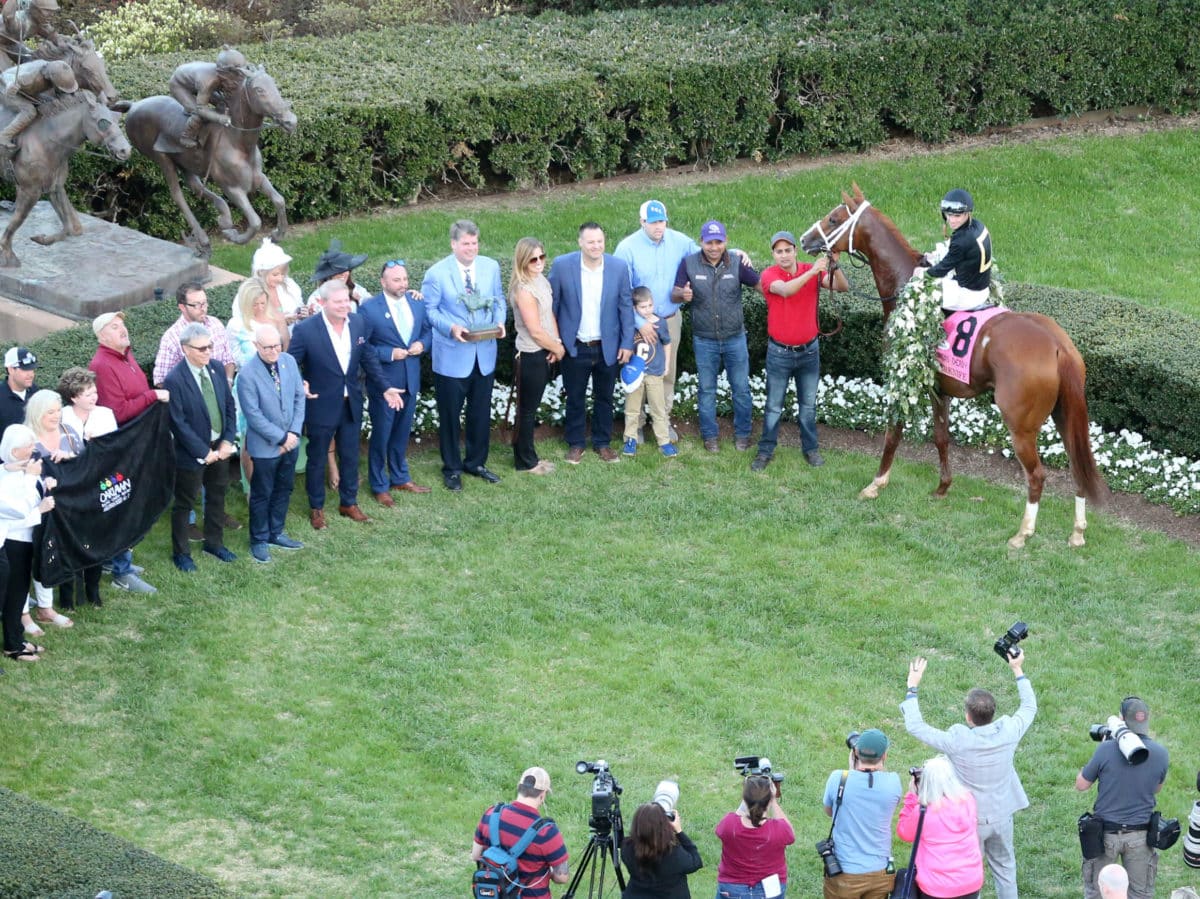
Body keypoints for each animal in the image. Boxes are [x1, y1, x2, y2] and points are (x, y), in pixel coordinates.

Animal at [801, 187, 1099, 547]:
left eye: (834, 218)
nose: (805, 239)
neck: (905, 286)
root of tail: (1058, 346)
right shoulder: (939, 389)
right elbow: (941, 437)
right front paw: (943, 487)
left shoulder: (904, 380)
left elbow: (893, 434)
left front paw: (876, 483)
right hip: (1065, 414)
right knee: (1076, 468)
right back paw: (1078, 532)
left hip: (1021, 425)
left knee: (1037, 475)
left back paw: (1022, 533)